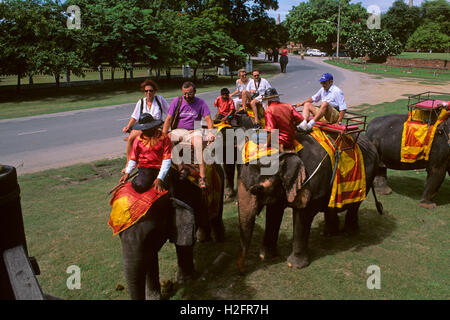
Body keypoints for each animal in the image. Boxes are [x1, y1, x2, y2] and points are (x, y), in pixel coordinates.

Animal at [118, 165, 225, 300]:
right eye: (119, 236)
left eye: (151, 233)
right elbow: (149, 255)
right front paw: (154, 298)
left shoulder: (186, 198)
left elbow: (183, 243)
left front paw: (185, 280)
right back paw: (202, 239)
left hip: (220, 185)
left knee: (216, 214)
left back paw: (219, 240)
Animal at [237, 131, 382, 272]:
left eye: (257, 190)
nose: (242, 270)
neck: (286, 150)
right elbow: (274, 212)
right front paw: (265, 256)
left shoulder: (311, 181)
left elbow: (302, 215)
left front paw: (294, 265)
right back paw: (329, 233)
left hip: (367, 178)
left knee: (355, 206)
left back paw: (349, 233)